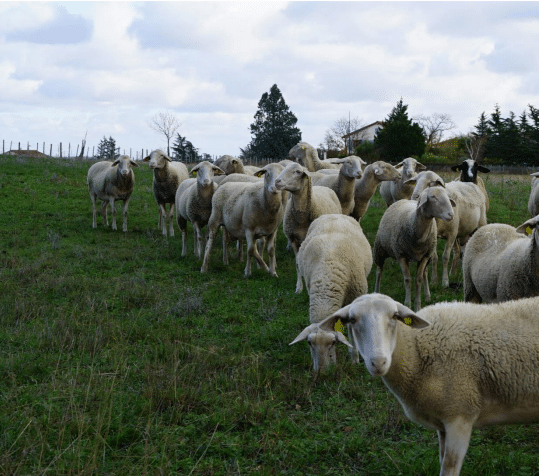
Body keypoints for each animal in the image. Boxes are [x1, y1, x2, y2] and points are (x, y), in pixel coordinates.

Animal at [300, 292, 539, 474]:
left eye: (395, 316)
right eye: (351, 320)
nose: (378, 362)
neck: (416, 347)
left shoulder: (460, 416)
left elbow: (449, 467)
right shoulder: (443, 422)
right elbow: (441, 459)